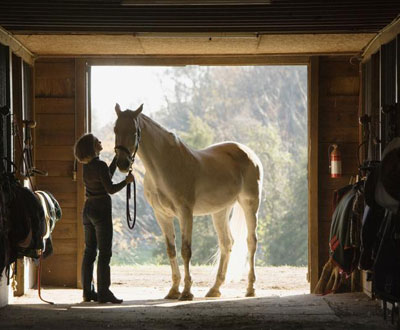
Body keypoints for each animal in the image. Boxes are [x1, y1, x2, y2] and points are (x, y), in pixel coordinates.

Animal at [113, 104, 262, 302]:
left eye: (134, 132)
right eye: (115, 129)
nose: (122, 164)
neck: (165, 166)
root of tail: (249, 153)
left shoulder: (185, 213)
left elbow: (185, 250)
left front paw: (186, 292)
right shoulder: (162, 215)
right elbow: (171, 250)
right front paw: (173, 290)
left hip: (249, 204)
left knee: (251, 242)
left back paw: (250, 288)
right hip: (220, 211)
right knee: (226, 243)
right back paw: (215, 289)